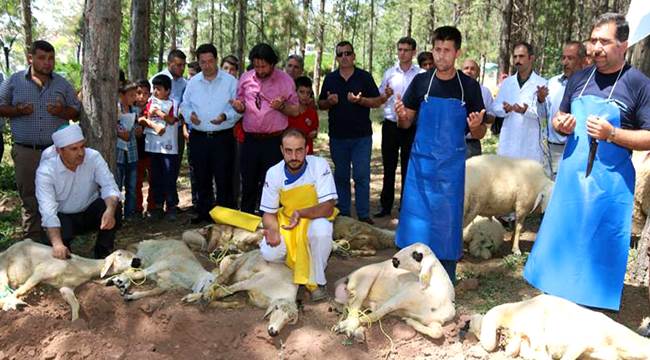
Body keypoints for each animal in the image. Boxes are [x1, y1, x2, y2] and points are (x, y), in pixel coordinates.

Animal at [0, 239, 138, 320]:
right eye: (119, 254)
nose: (137, 260)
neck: (79, 267)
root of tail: (5, 251)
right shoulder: (40, 272)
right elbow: (23, 289)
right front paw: (10, 301)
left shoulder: (66, 288)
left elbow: (76, 304)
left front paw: (75, 323)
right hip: (4, 267)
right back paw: (12, 304)